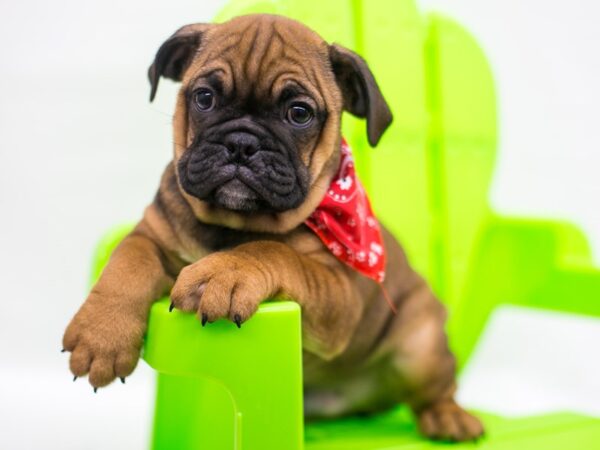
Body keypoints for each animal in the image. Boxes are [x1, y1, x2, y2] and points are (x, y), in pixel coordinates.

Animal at [62, 14, 482, 442]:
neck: (234, 223)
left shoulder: (339, 295)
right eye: (204, 98)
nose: (241, 143)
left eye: (299, 113)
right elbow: (128, 261)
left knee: (436, 390)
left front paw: (225, 272)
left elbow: (274, 250)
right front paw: (100, 334)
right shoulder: (153, 233)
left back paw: (449, 417)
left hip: (421, 349)